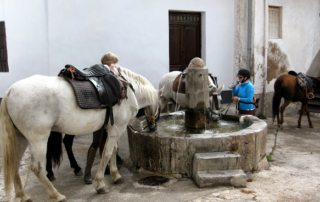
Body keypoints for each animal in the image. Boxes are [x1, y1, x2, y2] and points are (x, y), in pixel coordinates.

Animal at [0, 65, 159, 201]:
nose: (152, 128)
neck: (129, 89)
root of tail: (10, 91)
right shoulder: (117, 128)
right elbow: (107, 153)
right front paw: (100, 184)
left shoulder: (112, 129)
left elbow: (113, 151)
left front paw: (116, 175)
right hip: (39, 139)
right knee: (37, 167)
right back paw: (56, 195)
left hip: (21, 138)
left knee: (15, 163)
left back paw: (23, 195)